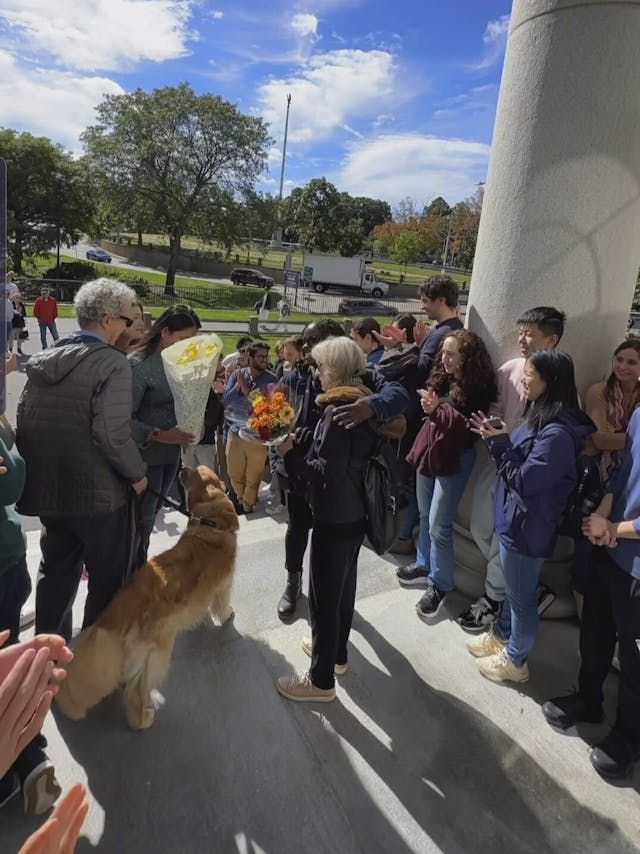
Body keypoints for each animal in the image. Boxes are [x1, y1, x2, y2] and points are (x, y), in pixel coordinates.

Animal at [55, 464, 238, 732]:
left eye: (195, 472)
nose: (182, 467)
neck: (212, 521)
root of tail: (113, 615)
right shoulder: (223, 585)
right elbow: (222, 605)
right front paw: (226, 616)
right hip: (157, 655)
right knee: (136, 693)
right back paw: (143, 719)